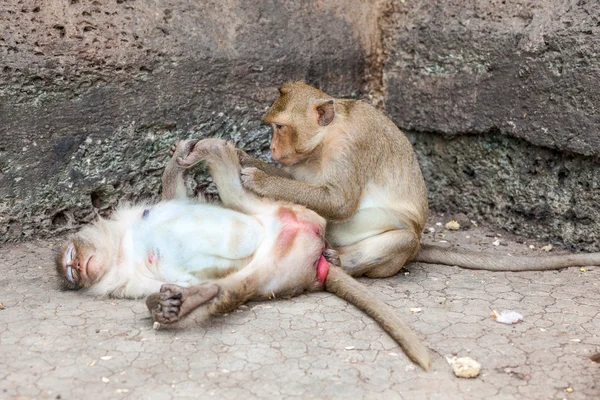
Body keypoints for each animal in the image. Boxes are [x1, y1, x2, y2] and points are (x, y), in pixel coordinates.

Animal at [56, 139, 428, 370]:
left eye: (71, 259)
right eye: (71, 272)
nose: (76, 266)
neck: (122, 247)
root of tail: (314, 256)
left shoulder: (134, 216)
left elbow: (174, 196)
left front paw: (177, 161)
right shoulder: (126, 280)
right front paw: (163, 302)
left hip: (281, 208)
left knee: (236, 195)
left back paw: (213, 150)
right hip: (284, 265)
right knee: (239, 286)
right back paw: (193, 300)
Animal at [239, 81, 600, 276]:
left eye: (280, 127)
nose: (271, 147)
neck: (325, 139)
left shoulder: (351, 145)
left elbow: (338, 203)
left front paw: (260, 180)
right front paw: (244, 157)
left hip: (396, 252)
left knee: (402, 239)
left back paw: (344, 263)